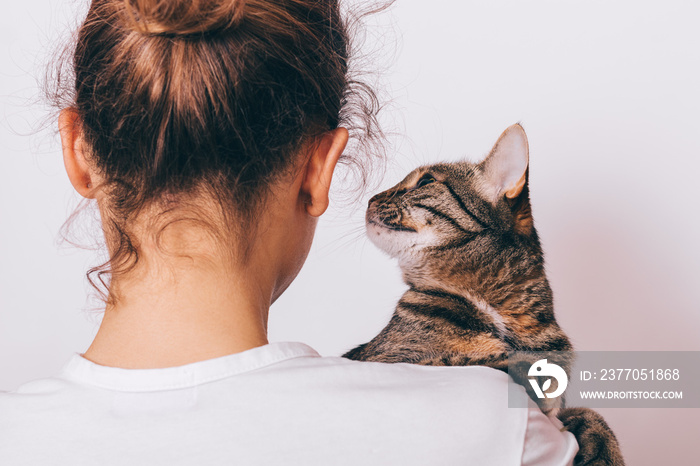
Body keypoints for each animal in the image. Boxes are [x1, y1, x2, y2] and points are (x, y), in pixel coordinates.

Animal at [344, 124, 624, 466]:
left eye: (424, 182)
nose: (371, 198)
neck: (502, 315)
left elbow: (587, 413)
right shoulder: (388, 359)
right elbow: (471, 361)